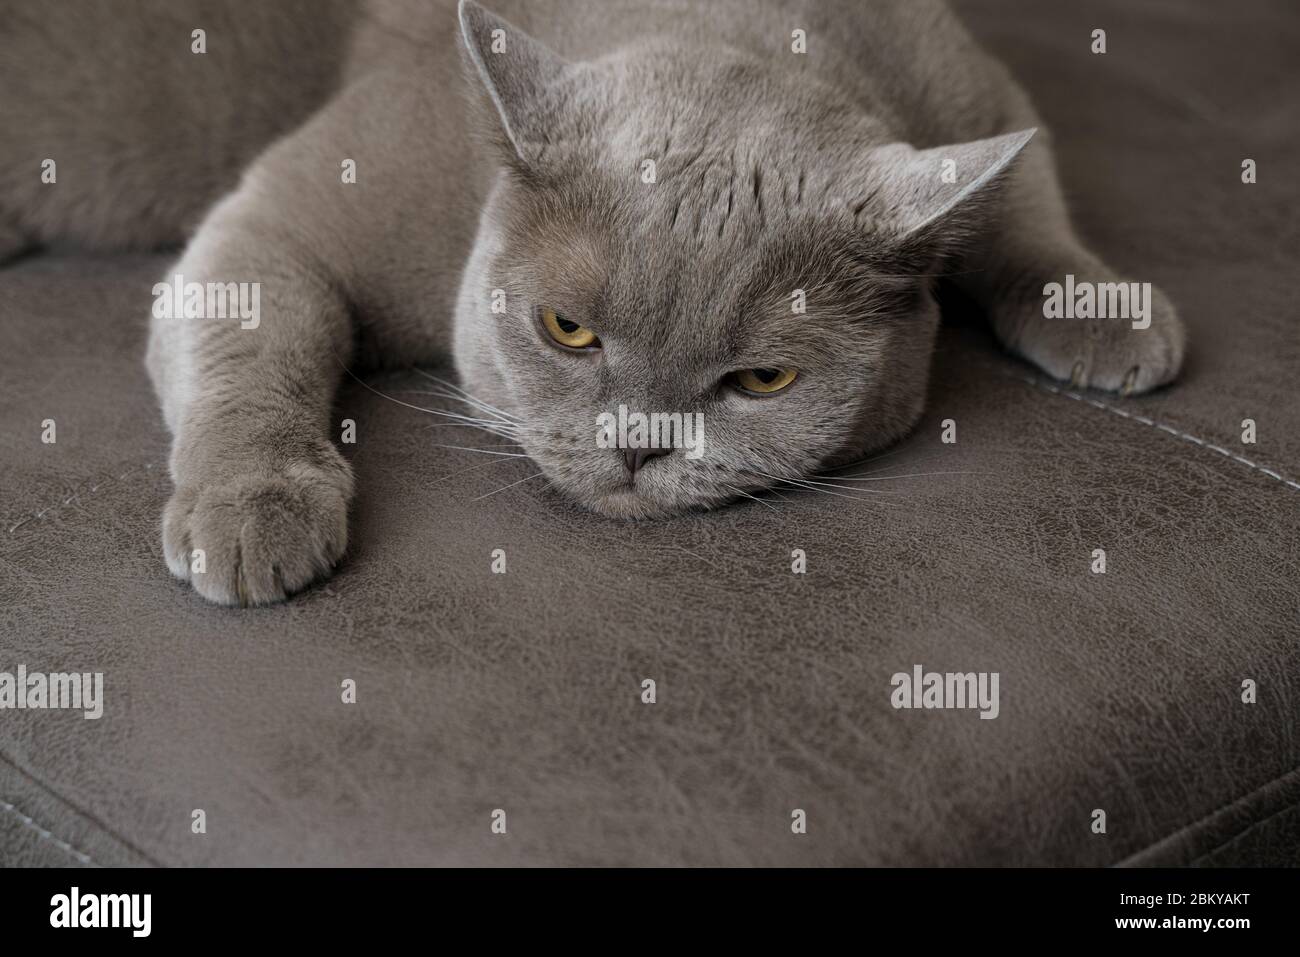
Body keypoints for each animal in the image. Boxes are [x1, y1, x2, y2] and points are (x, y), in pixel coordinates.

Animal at [0, 0, 1185, 600]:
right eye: (566, 330)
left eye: (762, 379)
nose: (638, 446)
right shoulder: (281, 220)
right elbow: (256, 346)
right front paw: (254, 512)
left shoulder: (967, 85)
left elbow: (1027, 196)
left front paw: (1110, 315)